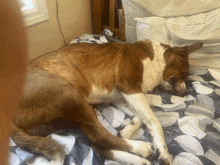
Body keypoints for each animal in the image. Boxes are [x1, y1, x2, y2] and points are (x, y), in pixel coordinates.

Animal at [11, 40, 203, 165]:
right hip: (69, 95)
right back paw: (141, 149)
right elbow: (153, 120)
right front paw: (164, 153)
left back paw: (136, 159)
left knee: (97, 144)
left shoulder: (121, 97)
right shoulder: (130, 88)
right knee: (100, 136)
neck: (155, 59)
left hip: (82, 107)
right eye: (183, 73)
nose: (185, 93)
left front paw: (128, 129)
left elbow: (141, 118)